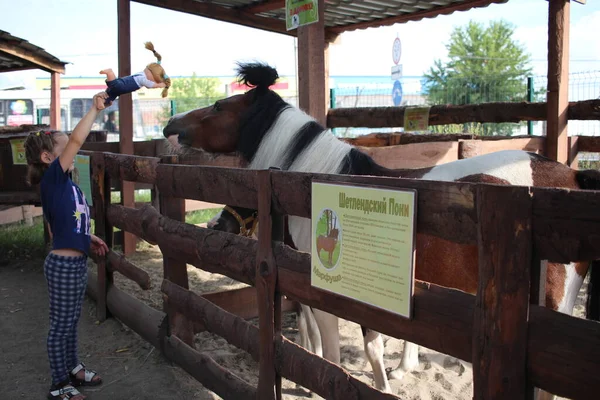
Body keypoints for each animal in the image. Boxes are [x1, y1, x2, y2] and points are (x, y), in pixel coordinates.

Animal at [164, 61, 600, 394]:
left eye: (218, 105)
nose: (170, 124)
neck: (315, 184)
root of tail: (574, 178)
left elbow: (331, 357)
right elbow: (369, 347)